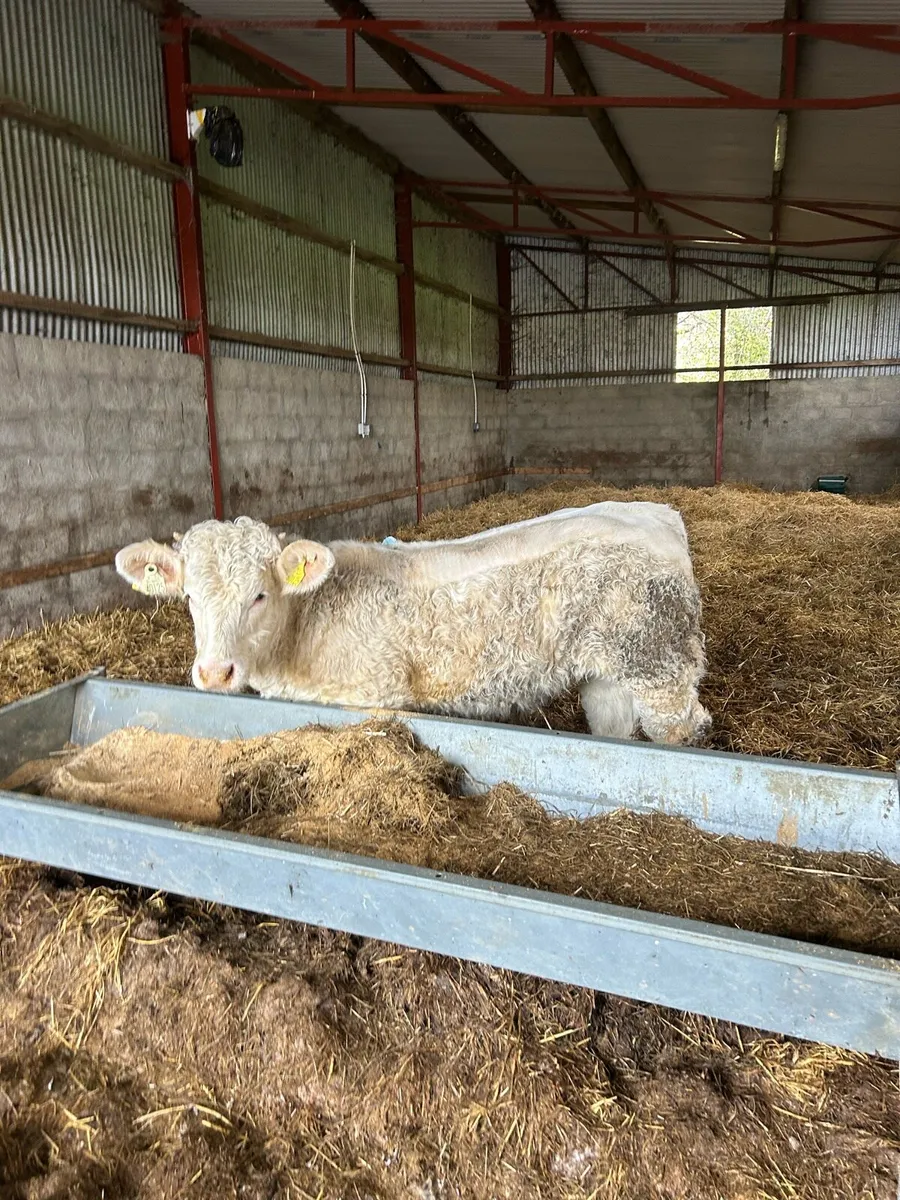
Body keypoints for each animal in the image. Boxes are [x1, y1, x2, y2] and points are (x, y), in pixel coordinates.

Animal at [115, 502, 710, 744]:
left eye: (260, 595)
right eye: (189, 598)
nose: (214, 673)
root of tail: (659, 517)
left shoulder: (374, 695)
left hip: (661, 664)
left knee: (682, 727)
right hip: (607, 673)